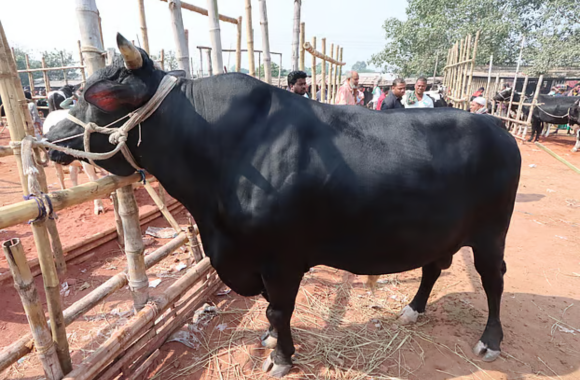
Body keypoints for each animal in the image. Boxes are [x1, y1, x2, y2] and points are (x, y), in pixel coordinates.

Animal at [46, 35, 520, 378]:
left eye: (94, 97)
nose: (48, 132)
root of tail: (498, 127)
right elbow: (271, 310)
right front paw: (272, 340)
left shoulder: (281, 259)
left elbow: (278, 307)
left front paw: (282, 357)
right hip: (442, 231)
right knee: (433, 267)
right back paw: (413, 309)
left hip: (491, 233)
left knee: (493, 279)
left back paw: (491, 341)